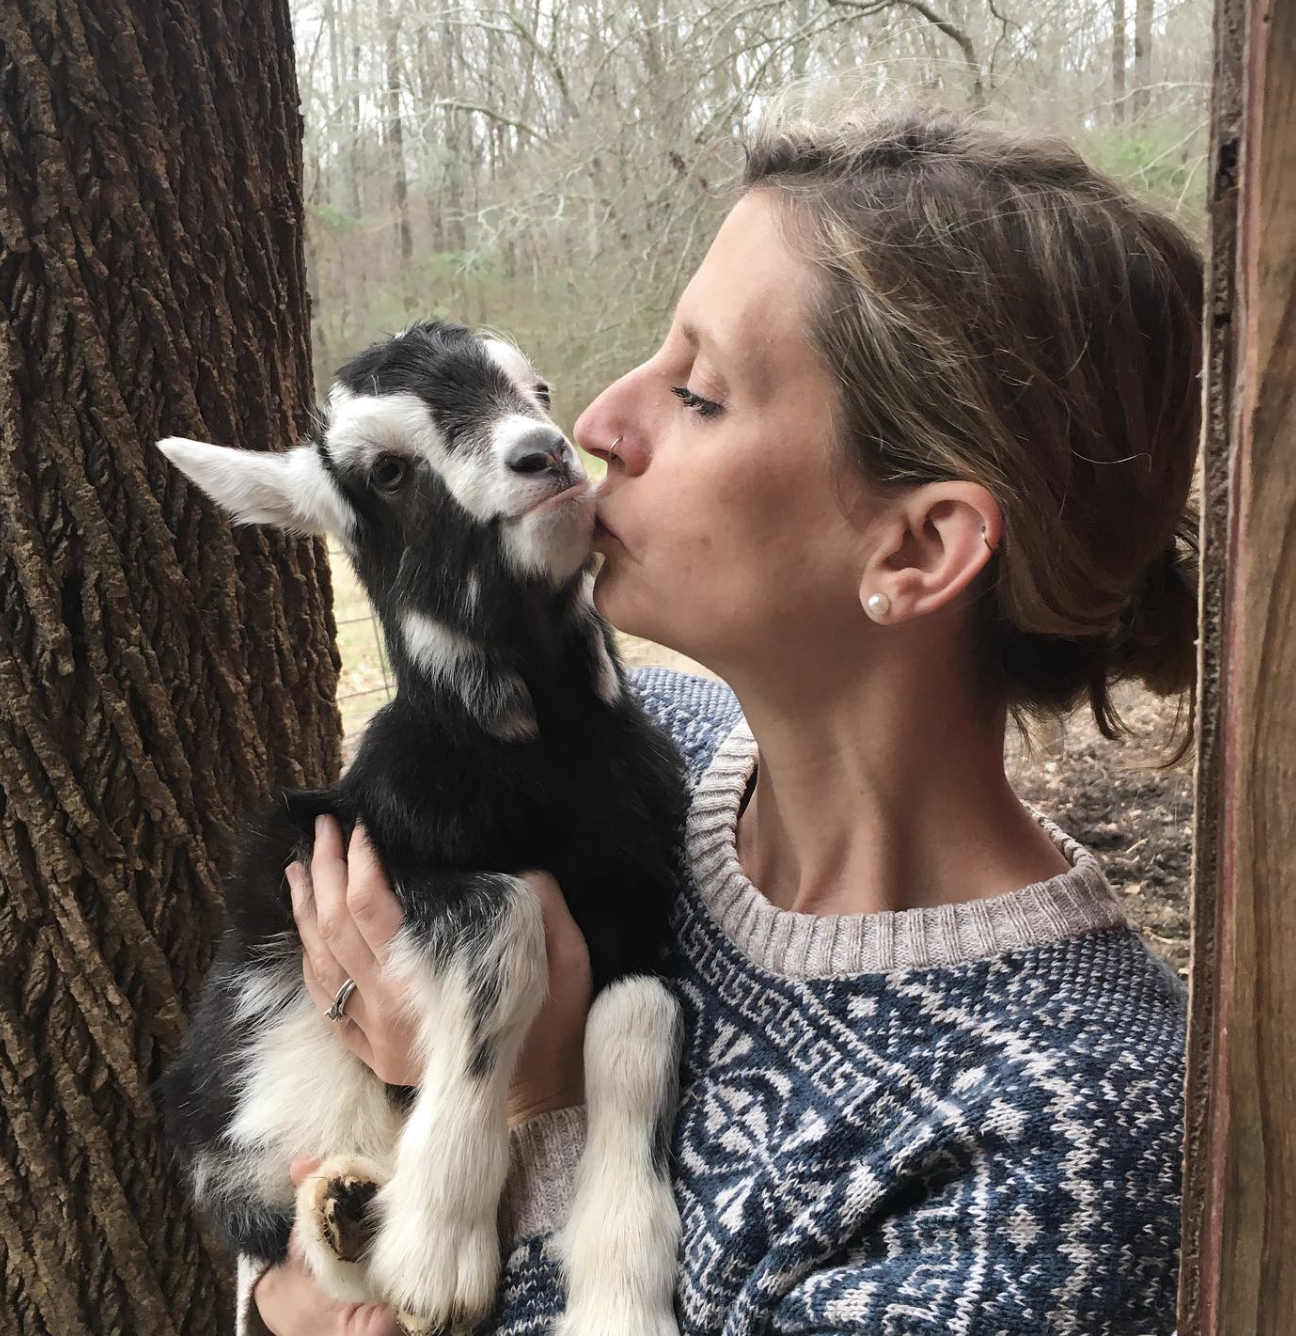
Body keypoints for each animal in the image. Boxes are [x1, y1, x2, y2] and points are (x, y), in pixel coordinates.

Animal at [156, 321, 687, 1336]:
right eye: (389, 470)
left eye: (537, 390)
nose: (547, 455)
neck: (545, 760)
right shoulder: (376, 854)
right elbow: (507, 926)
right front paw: (439, 1249)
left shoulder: (638, 910)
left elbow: (638, 1019)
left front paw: (617, 1302)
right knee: (275, 1223)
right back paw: (354, 1219)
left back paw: (353, 1212)